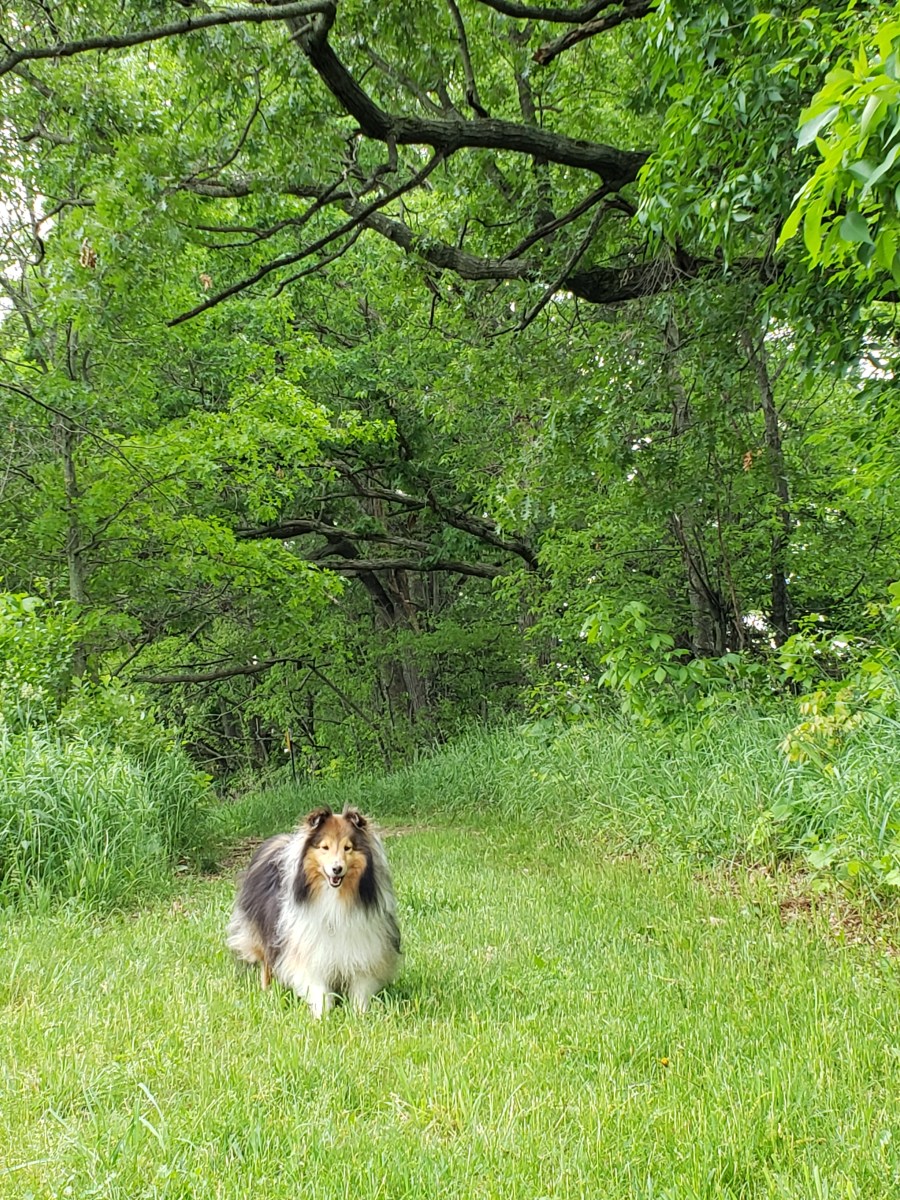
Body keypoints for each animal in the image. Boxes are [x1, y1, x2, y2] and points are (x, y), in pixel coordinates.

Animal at [226, 806, 400, 1017]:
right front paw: (322, 1015)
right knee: (266, 963)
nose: (337, 869)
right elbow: (317, 988)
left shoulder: (363, 947)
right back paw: (267, 991)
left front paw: (360, 1013)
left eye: (348, 847)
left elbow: (360, 987)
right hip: (263, 933)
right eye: (324, 847)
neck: (334, 897)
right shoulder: (308, 949)